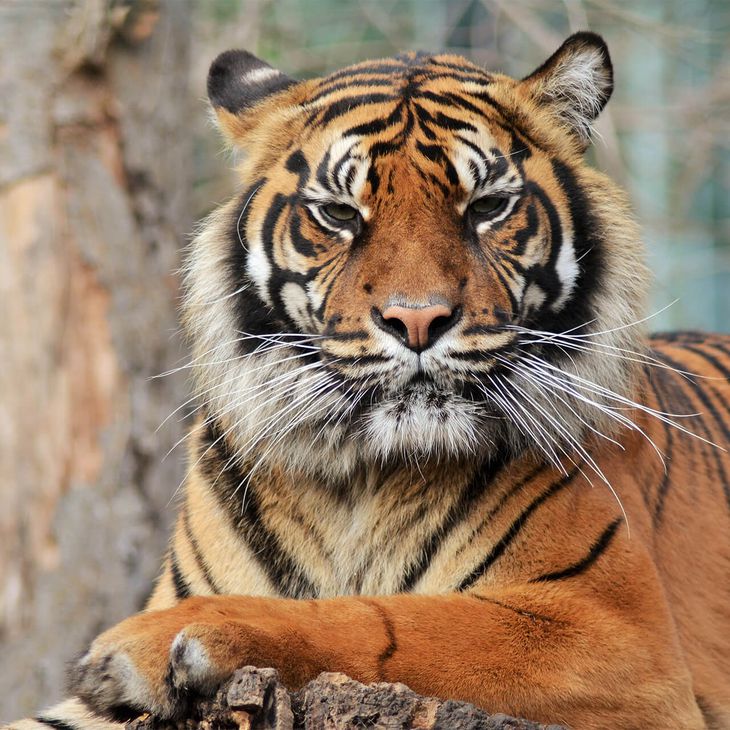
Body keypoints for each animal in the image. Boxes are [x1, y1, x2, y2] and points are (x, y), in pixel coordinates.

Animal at [6, 30, 730, 730]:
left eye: (488, 207)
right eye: (340, 214)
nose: (417, 319)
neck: (358, 479)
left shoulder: (614, 633)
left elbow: (384, 619)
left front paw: (154, 644)